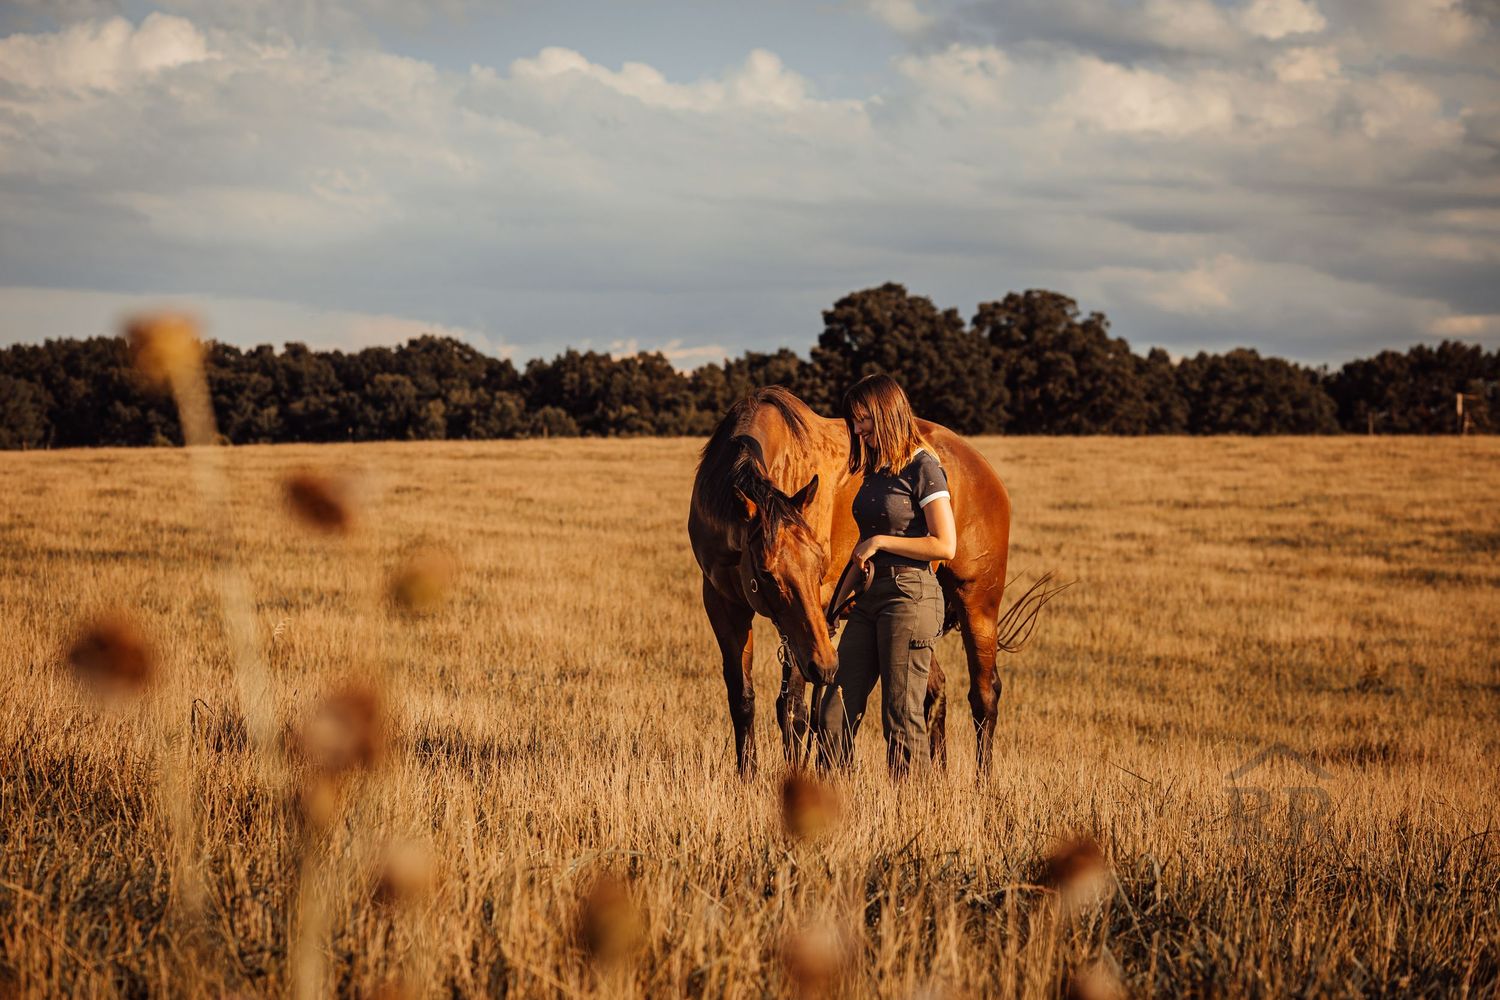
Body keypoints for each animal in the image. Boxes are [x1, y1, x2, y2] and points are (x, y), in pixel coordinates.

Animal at [688, 385, 1056, 777]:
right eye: (766, 572)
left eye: (820, 564)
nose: (827, 666)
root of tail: (981, 468)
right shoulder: (724, 605)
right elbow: (743, 698)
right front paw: (746, 776)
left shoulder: (812, 620)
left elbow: (794, 711)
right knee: (934, 691)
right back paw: (938, 774)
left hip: (978, 603)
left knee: (984, 694)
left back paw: (982, 783)